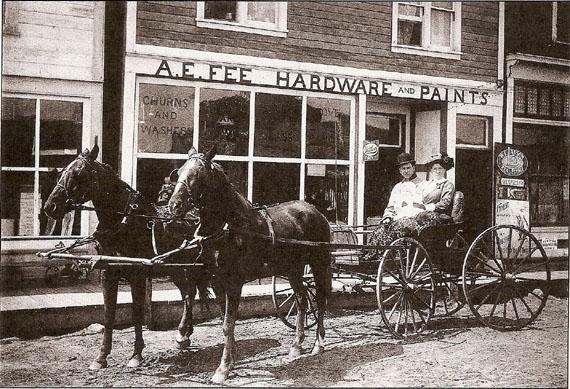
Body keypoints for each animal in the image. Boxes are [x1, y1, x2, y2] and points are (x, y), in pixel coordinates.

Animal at [42, 144, 210, 368]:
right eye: (62, 172)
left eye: (78, 174)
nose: (49, 207)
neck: (122, 223)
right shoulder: (108, 273)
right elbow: (108, 315)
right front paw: (101, 357)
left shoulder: (137, 274)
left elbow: (136, 314)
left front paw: (136, 355)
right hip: (174, 268)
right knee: (188, 293)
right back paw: (183, 335)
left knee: (191, 293)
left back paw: (184, 333)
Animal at [166, 147, 330, 384]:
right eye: (178, 173)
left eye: (198, 174)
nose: (174, 206)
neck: (230, 226)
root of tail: (315, 211)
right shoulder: (218, 283)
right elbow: (226, 322)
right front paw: (232, 360)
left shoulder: (235, 283)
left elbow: (228, 324)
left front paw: (223, 369)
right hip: (293, 269)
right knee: (301, 300)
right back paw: (296, 347)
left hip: (318, 263)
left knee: (320, 300)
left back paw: (318, 344)